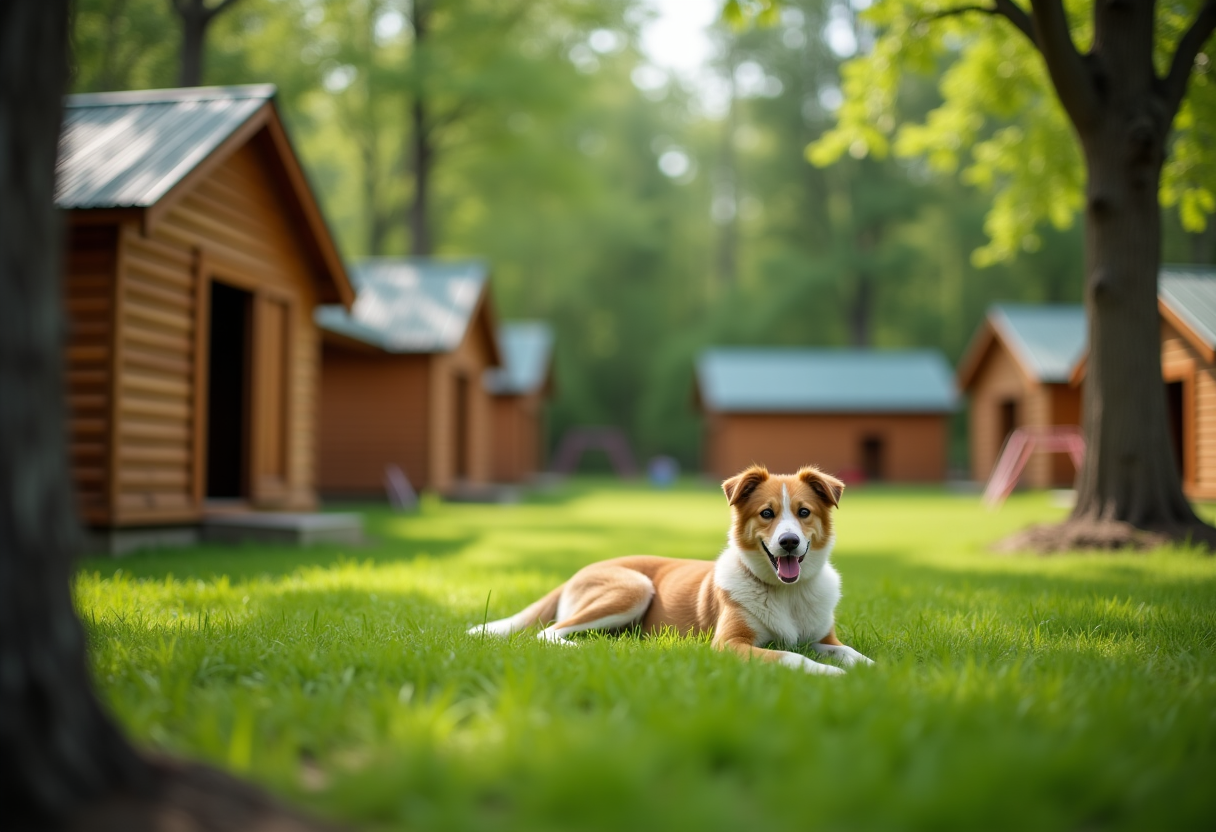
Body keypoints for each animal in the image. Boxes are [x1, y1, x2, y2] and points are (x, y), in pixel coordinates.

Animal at [464, 462, 875, 676]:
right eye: (767, 514)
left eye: (804, 512)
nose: (789, 542)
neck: (787, 592)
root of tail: (576, 573)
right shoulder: (729, 644)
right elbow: (791, 656)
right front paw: (831, 675)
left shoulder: (825, 639)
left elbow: (853, 653)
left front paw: (877, 673)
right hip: (634, 586)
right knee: (548, 633)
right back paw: (589, 648)